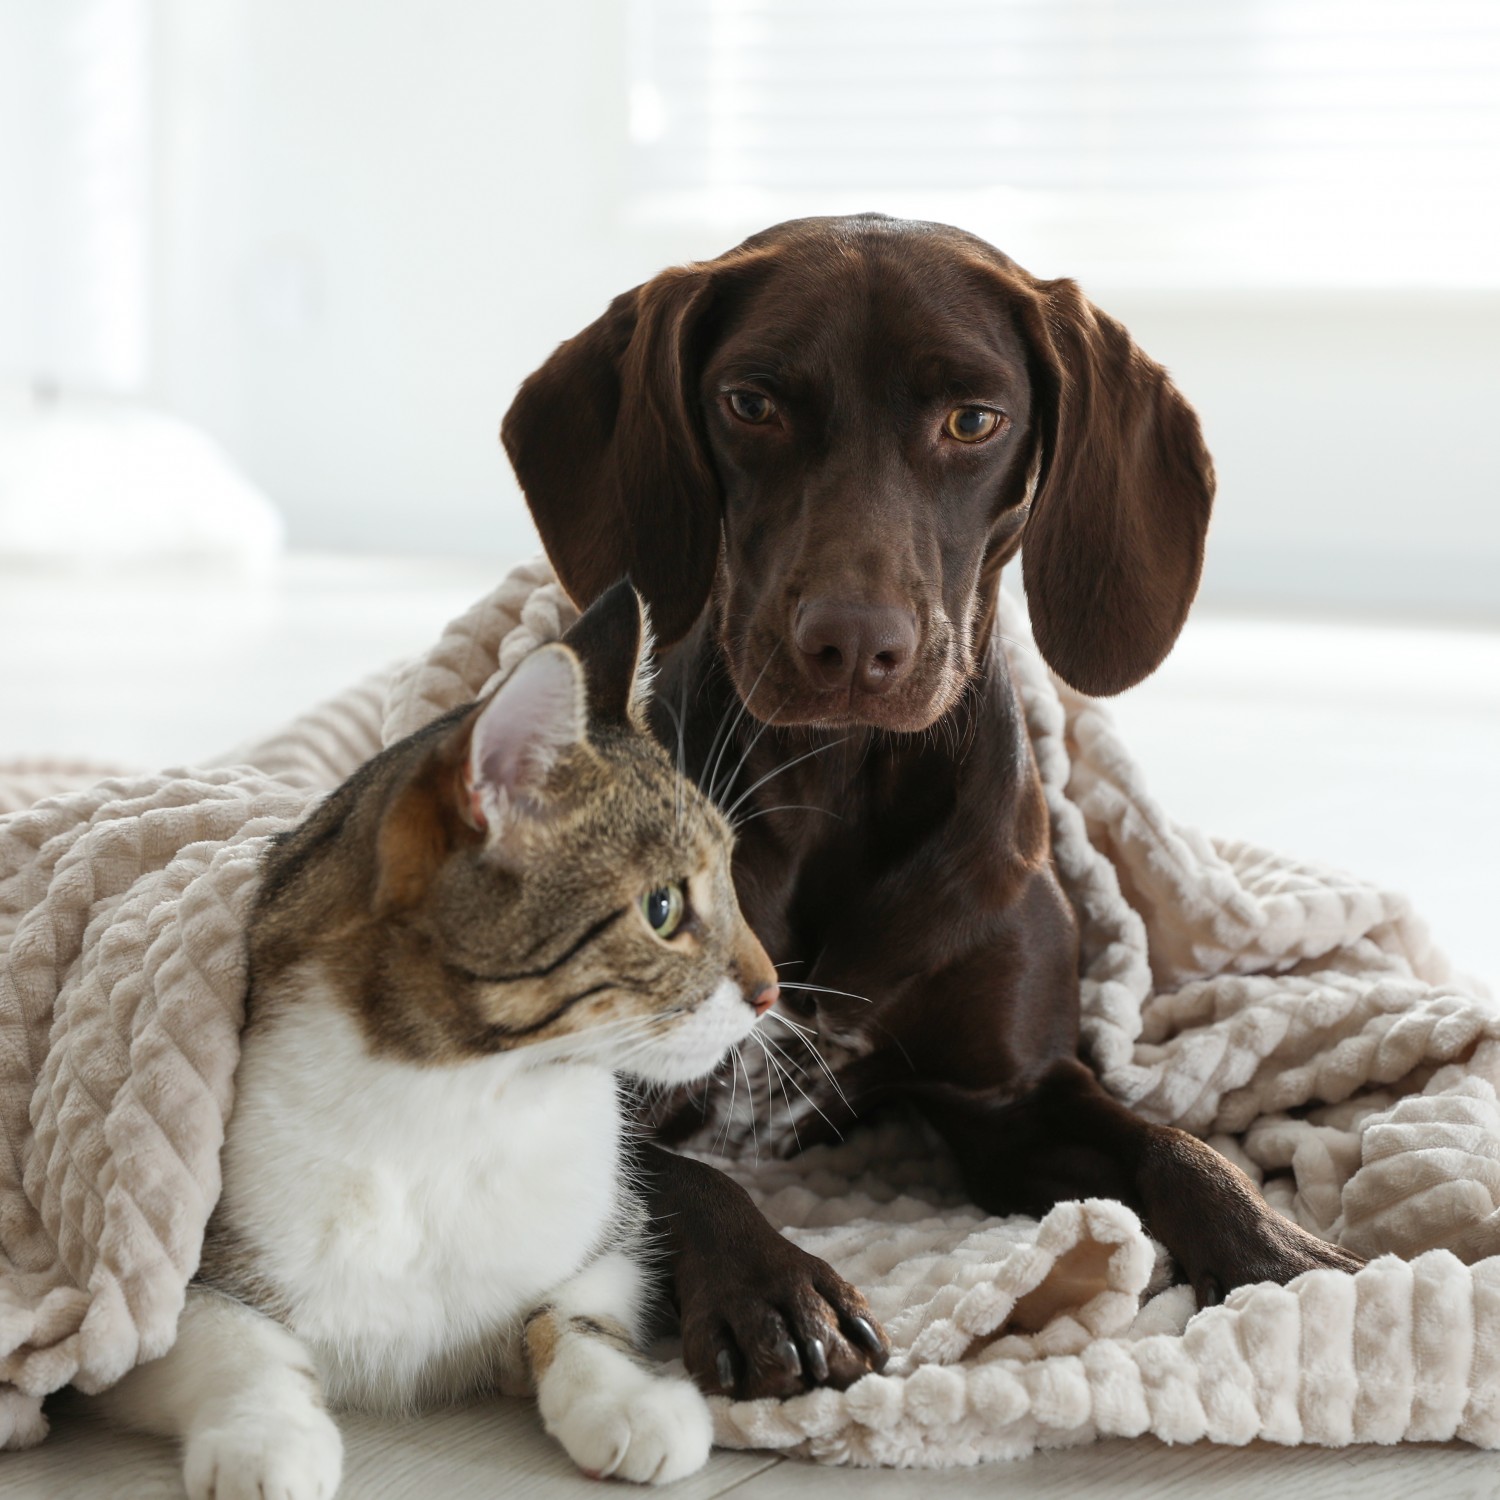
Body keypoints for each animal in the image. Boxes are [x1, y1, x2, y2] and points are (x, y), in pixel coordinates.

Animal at [96, 579, 774, 1494]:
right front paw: (267, 1438)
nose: (772, 991)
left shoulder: (609, 1237)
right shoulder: (151, 1297)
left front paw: (628, 1401)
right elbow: (235, 1340)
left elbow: (574, 1312)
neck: (467, 1101)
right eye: (662, 908)